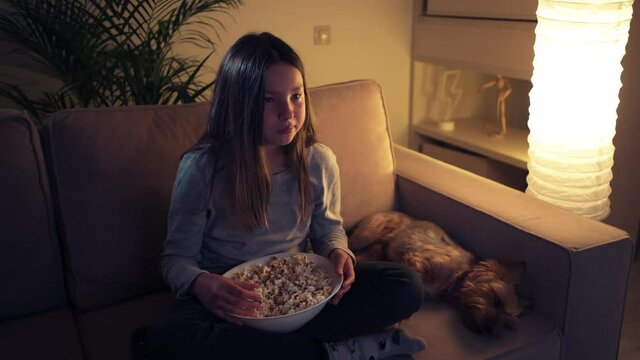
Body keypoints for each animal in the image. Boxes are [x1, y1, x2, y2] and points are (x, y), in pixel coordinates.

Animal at [348, 211, 528, 334]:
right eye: (497, 301)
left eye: (506, 324)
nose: (490, 330)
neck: (457, 279)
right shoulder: (417, 263)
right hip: (366, 235)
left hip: (373, 252)